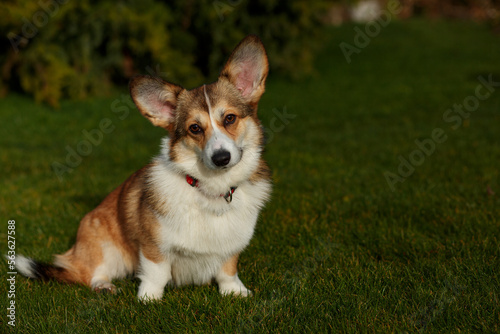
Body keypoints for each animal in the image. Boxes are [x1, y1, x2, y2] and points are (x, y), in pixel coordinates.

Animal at [15, 35, 272, 302]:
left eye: (230, 118)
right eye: (195, 128)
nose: (221, 158)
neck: (211, 187)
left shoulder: (231, 245)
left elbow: (228, 270)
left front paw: (235, 292)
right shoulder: (152, 246)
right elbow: (157, 273)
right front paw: (149, 299)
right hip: (105, 246)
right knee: (90, 274)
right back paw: (104, 286)